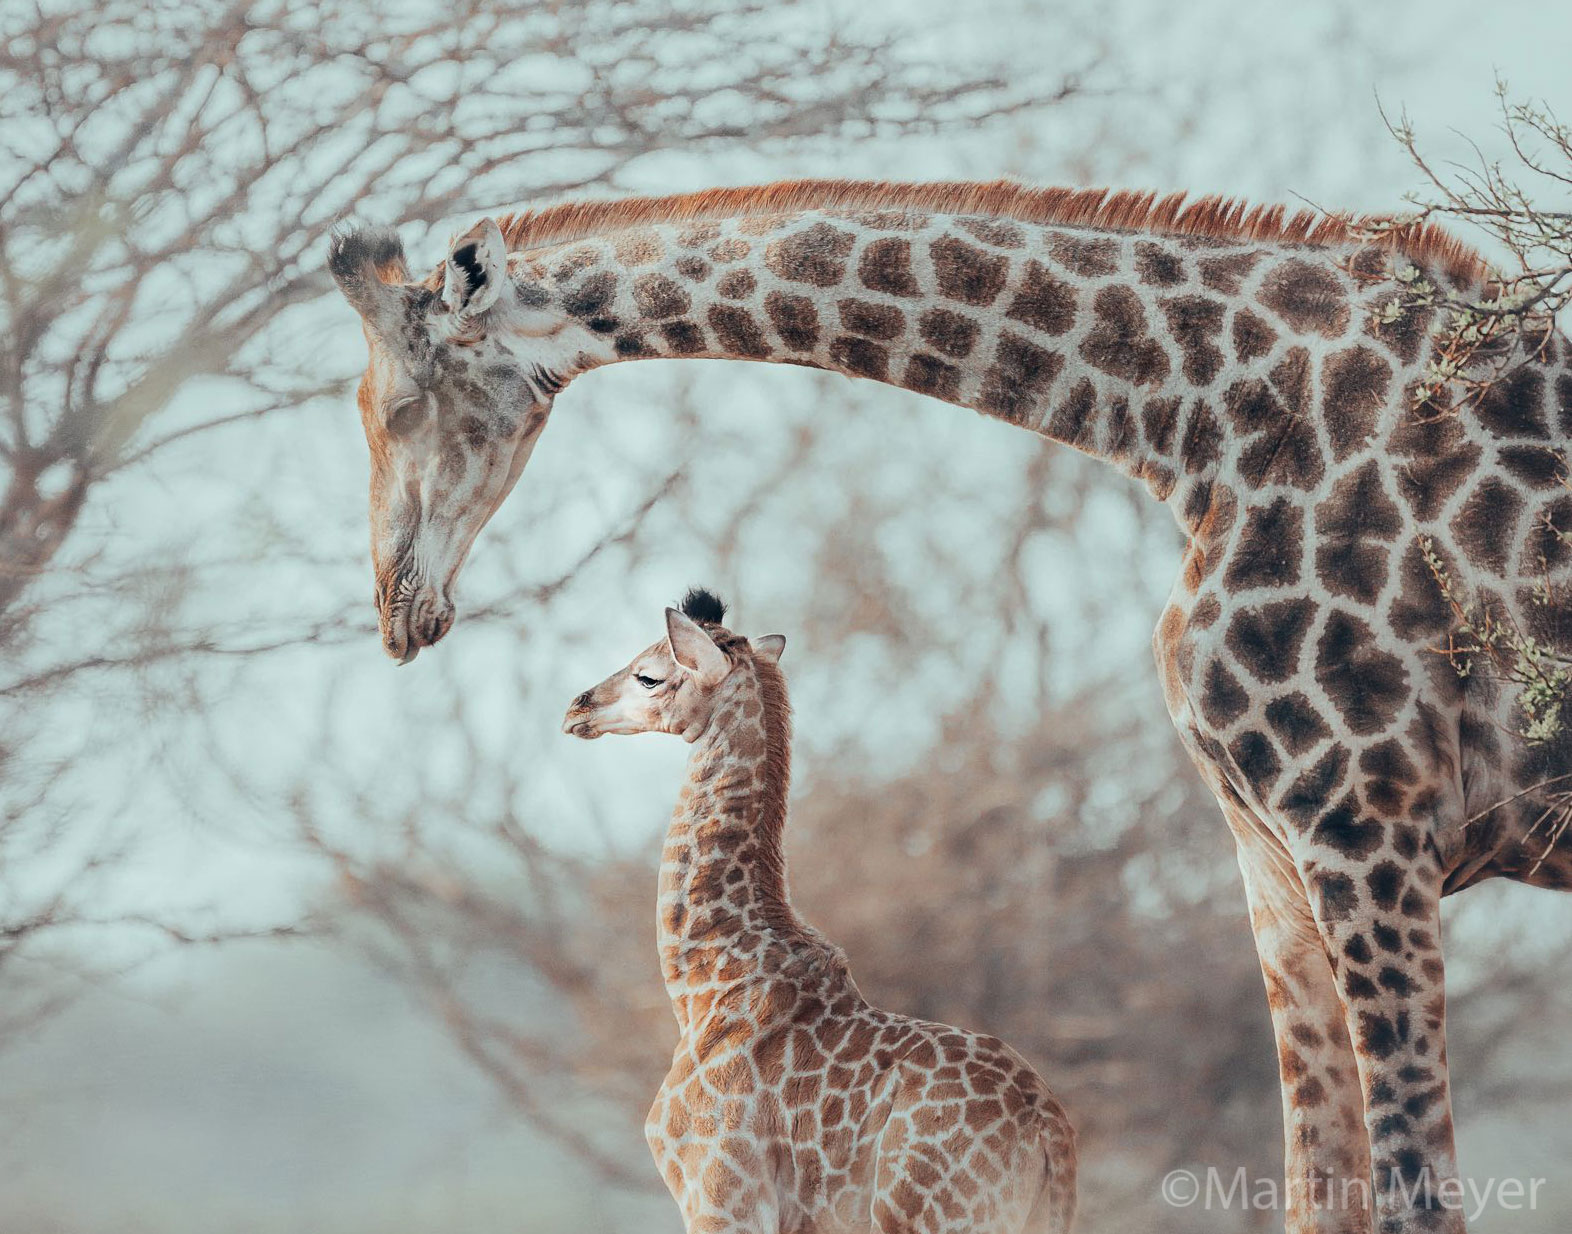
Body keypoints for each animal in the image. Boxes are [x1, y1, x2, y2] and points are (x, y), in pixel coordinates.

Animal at [562, 588, 1078, 1234]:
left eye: (649, 675)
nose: (576, 708)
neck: (703, 982)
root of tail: (1049, 1132)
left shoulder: (722, 1195)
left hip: (927, 1215)